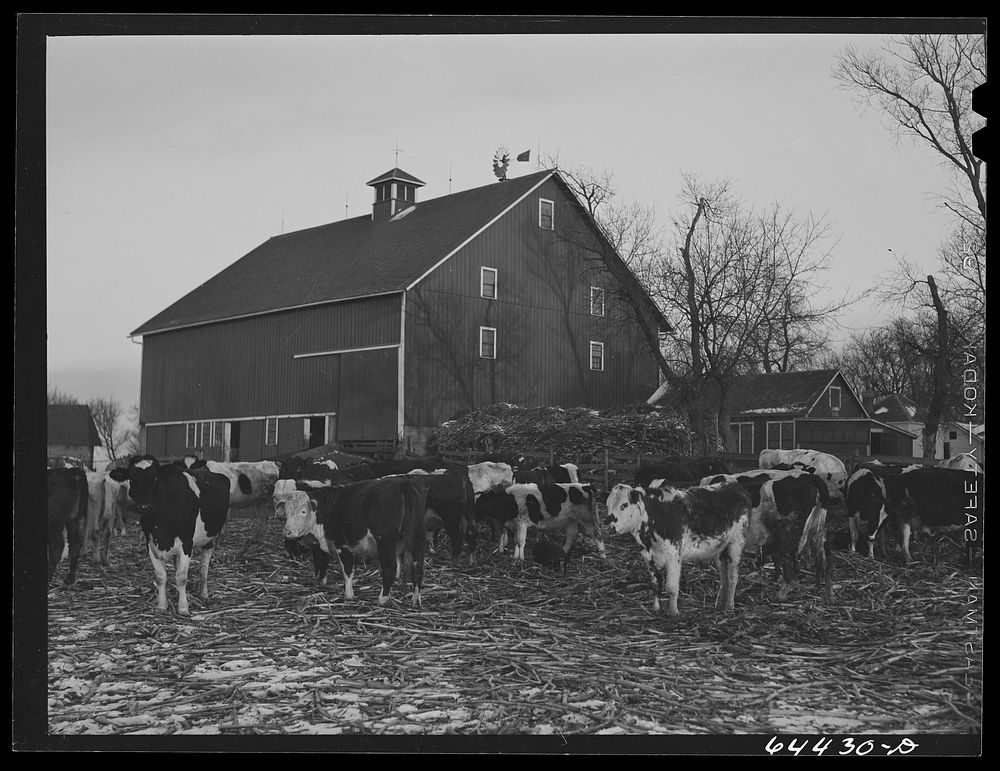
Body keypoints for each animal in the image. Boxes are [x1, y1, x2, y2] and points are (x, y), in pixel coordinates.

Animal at [109, 458, 230, 616]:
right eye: (132, 478)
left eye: (155, 478)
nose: (144, 506)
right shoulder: (150, 544)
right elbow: (161, 577)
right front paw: (162, 605)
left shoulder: (186, 543)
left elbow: (182, 577)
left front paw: (183, 608)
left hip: (210, 539)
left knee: (204, 567)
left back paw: (203, 593)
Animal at [278, 476, 426, 608]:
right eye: (286, 513)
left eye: (303, 511)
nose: (287, 532)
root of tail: (402, 483)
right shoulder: (321, 546)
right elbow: (322, 566)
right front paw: (321, 584)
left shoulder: (342, 545)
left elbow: (347, 570)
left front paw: (348, 595)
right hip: (417, 539)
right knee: (417, 567)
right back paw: (415, 599)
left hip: (385, 541)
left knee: (390, 568)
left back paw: (382, 599)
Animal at [600, 480, 752, 620]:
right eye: (607, 505)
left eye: (624, 505)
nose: (607, 524)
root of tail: (734, 486)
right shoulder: (649, 558)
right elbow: (656, 585)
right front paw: (656, 609)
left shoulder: (673, 556)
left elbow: (672, 587)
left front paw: (673, 612)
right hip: (721, 550)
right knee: (724, 577)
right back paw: (720, 604)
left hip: (736, 544)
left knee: (732, 577)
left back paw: (729, 607)